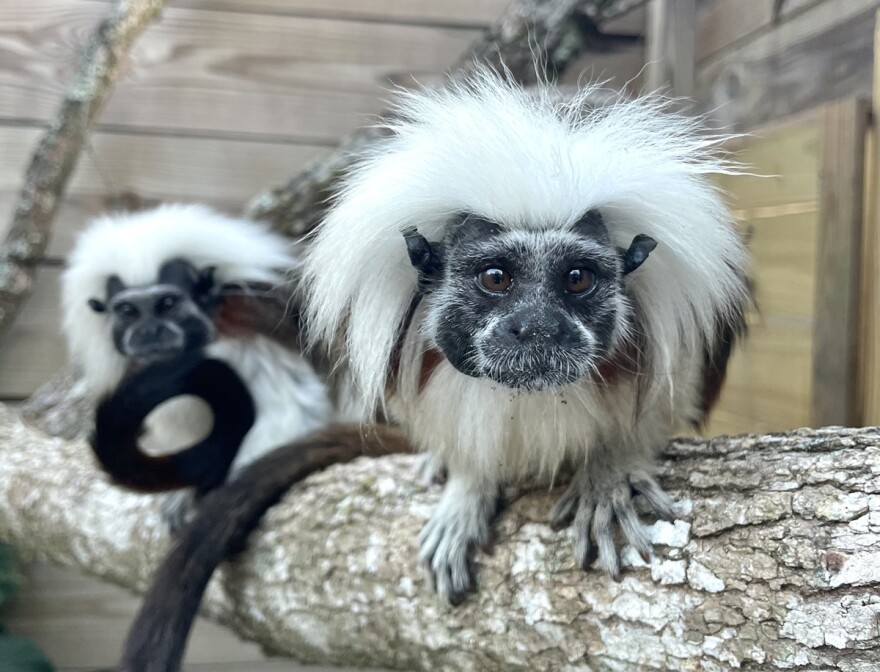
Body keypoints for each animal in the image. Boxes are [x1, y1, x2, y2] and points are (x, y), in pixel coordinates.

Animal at [61, 203, 337, 524]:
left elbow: (295, 407)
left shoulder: (246, 326)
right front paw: (183, 495)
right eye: (128, 311)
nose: (149, 332)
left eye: (167, 304)